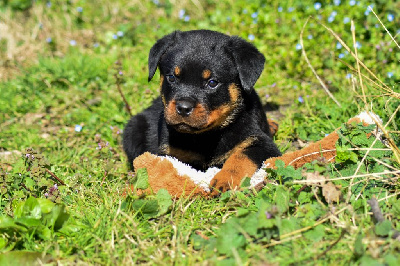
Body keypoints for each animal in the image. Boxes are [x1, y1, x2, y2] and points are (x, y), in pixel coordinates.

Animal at [122, 29, 282, 195]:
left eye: (212, 83)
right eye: (172, 77)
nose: (183, 107)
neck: (206, 136)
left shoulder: (262, 143)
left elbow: (241, 157)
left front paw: (225, 180)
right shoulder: (168, 153)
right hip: (133, 130)